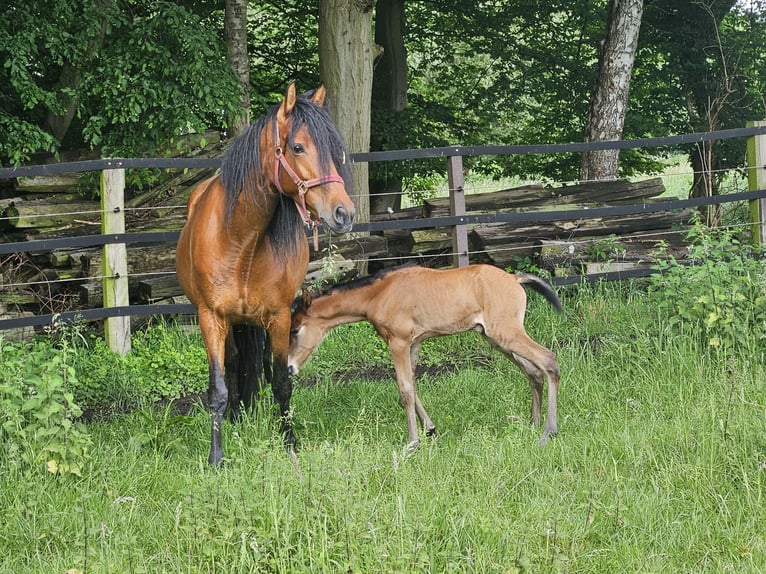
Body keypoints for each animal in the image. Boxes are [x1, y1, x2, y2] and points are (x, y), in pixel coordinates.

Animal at [178, 83, 356, 466]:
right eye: (298, 147)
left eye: (334, 149)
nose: (344, 213)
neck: (240, 241)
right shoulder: (210, 317)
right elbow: (217, 388)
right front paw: (217, 456)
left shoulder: (278, 316)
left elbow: (281, 382)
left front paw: (289, 442)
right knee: (233, 363)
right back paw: (236, 416)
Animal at [288, 266, 564, 450]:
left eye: (295, 329)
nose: (289, 367)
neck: (380, 293)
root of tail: (514, 278)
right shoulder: (415, 343)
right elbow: (412, 382)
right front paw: (430, 429)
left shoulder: (398, 342)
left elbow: (404, 389)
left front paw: (413, 442)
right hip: (496, 338)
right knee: (533, 371)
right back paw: (533, 423)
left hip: (506, 333)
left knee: (548, 360)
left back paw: (548, 432)